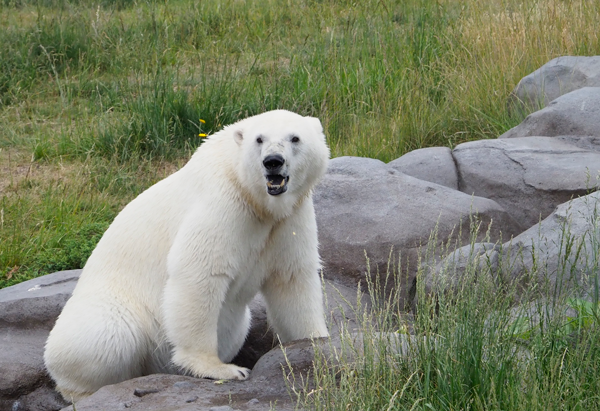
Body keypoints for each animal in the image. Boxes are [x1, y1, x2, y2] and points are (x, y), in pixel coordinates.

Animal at [44, 109, 330, 402]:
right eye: (259, 139)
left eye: (295, 138)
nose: (273, 161)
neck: (256, 199)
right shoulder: (224, 204)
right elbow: (199, 272)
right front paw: (222, 369)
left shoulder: (289, 217)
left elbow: (291, 278)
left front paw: (316, 341)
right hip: (114, 309)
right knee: (106, 333)